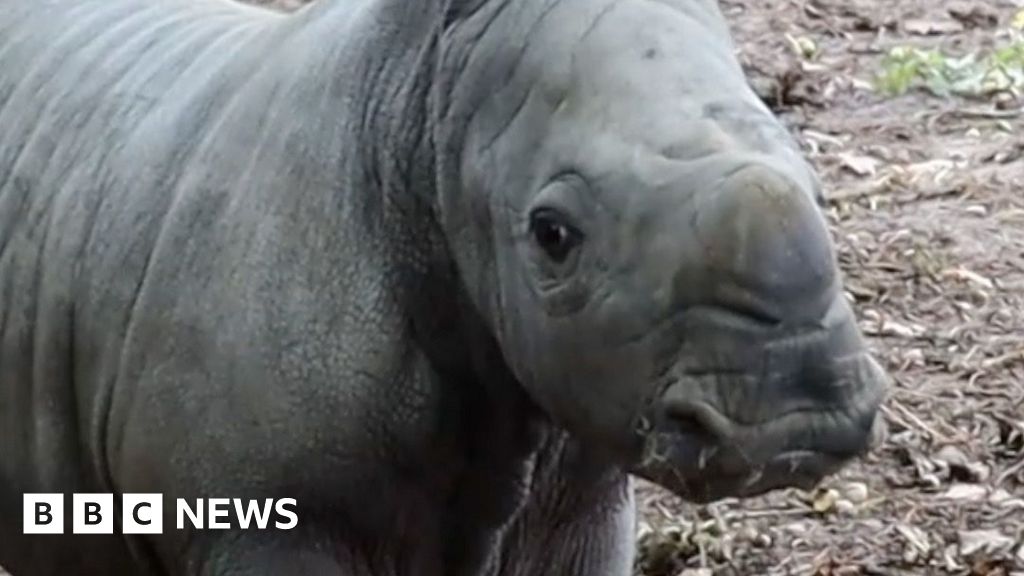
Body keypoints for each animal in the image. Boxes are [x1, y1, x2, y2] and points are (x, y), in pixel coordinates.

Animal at [0, 0, 888, 573]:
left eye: (816, 182)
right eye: (552, 235)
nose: (799, 415)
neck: (420, 115)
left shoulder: (582, 487)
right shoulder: (261, 516)